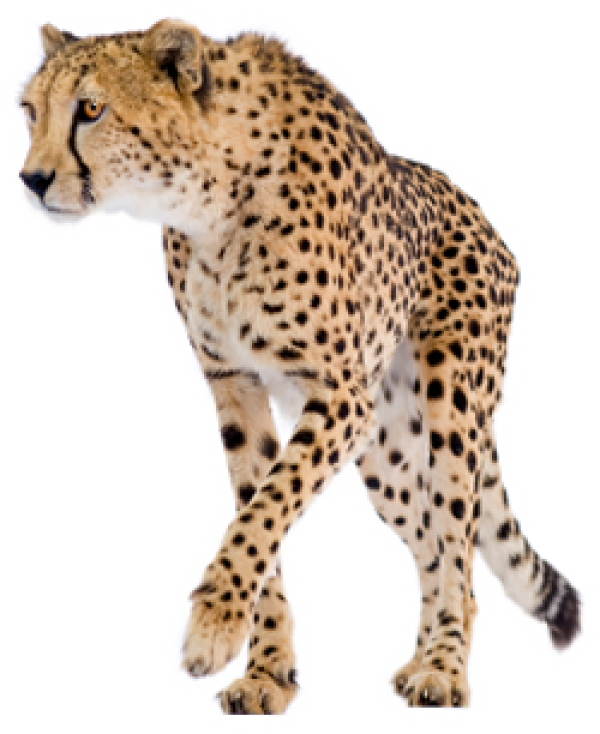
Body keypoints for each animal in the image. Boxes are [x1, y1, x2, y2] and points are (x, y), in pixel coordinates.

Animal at [18, 19, 581, 713]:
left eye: (91, 110)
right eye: (32, 111)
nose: (33, 179)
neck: (207, 197)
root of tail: (483, 215)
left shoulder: (338, 392)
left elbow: (267, 509)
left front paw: (212, 626)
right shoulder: (235, 383)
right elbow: (258, 508)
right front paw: (266, 670)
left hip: (452, 406)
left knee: (457, 544)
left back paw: (445, 668)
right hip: (387, 450)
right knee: (427, 538)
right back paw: (418, 661)